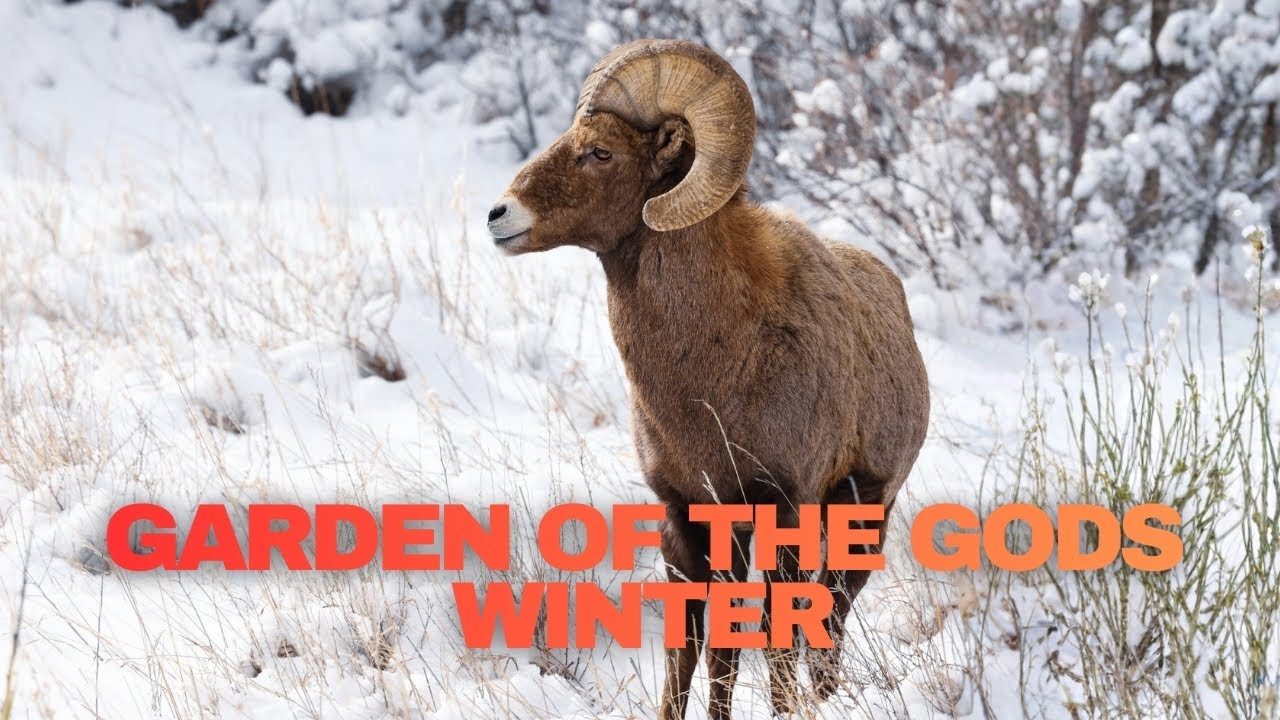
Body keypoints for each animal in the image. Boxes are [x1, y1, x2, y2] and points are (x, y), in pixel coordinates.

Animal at [486, 39, 930, 720]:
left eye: (601, 151)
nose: (499, 215)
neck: (716, 368)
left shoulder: (781, 515)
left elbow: (772, 643)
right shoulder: (687, 521)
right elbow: (696, 651)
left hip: (864, 518)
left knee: (829, 620)